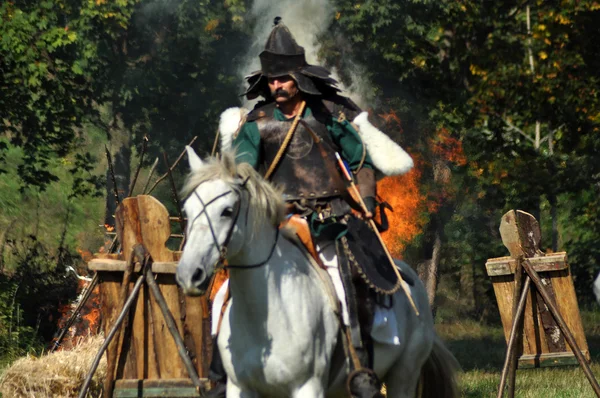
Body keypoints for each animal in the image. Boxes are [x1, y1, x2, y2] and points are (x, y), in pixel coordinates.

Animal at [176, 148, 458, 398]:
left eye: (226, 211)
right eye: (187, 210)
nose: (189, 274)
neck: (266, 316)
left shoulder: (308, 387)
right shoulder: (240, 388)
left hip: (404, 377)